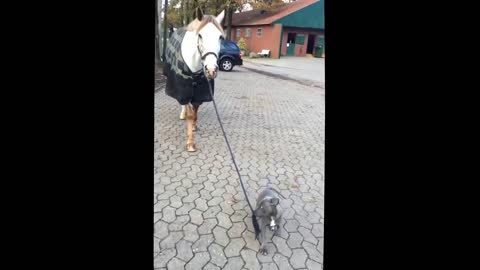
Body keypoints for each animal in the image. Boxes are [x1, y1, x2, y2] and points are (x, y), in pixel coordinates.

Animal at [164, 8, 226, 152]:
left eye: (220, 37)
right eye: (200, 36)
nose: (211, 70)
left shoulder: (201, 90)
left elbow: (196, 109)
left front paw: (194, 126)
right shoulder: (184, 88)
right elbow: (190, 114)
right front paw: (190, 143)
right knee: (181, 103)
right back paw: (182, 114)